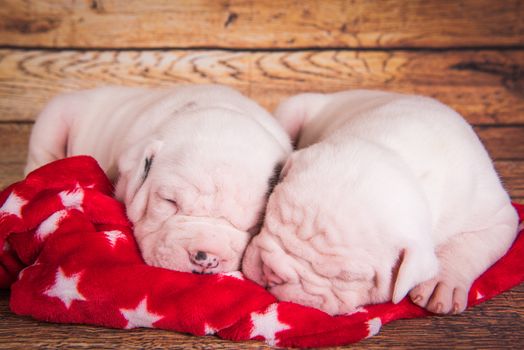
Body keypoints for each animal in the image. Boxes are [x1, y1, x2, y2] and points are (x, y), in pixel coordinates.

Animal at [243, 89, 520, 314]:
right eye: (268, 217)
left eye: (346, 276)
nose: (273, 272)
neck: (400, 156)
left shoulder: (499, 217)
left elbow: (471, 246)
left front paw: (442, 282)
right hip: (295, 107)